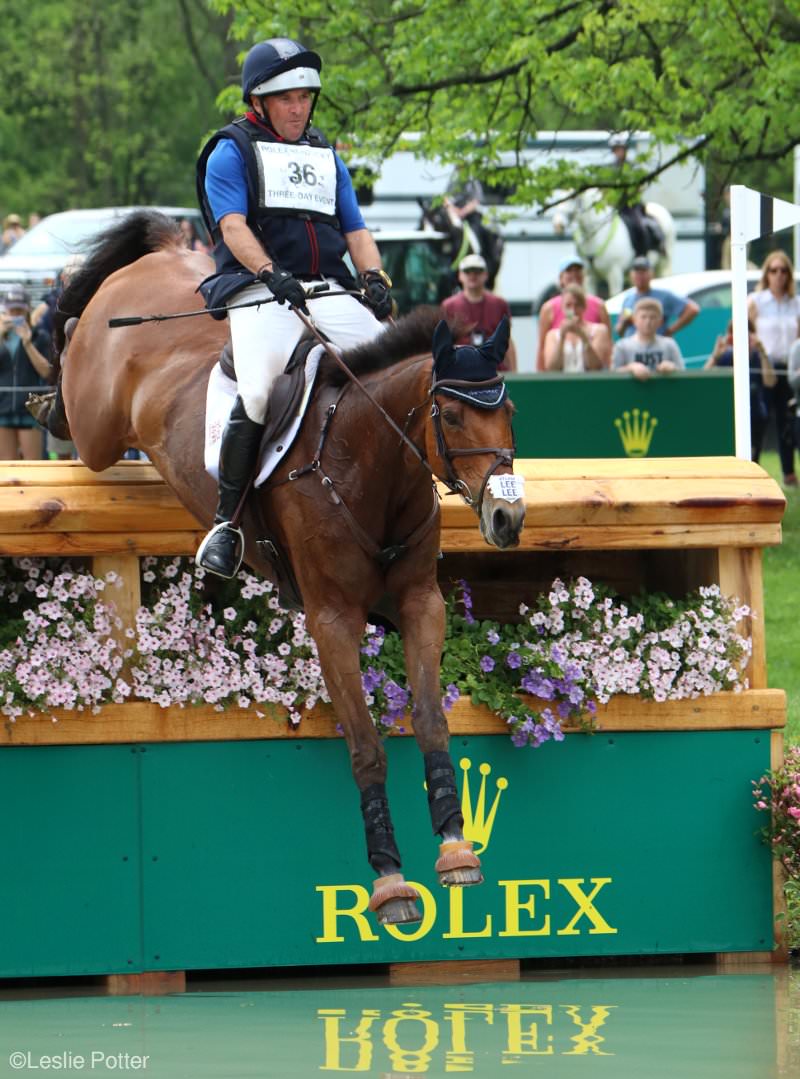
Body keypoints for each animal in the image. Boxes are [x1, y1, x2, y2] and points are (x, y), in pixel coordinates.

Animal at [49, 212, 524, 927]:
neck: (369, 463)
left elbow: (432, 718)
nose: (506, 517)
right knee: (74, 387)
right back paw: (51, 362)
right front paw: (389, 881)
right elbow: (366, 744)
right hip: (98, 426)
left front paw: (454, 845)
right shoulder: (331, 619)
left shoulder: (420, 602)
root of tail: (160, 258)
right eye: (453, 414)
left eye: (509, 413)